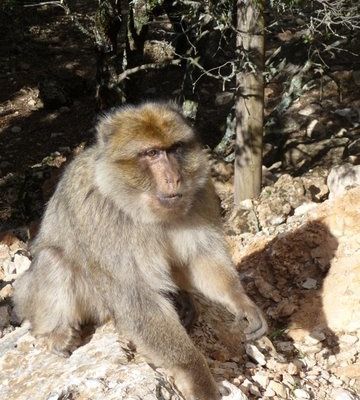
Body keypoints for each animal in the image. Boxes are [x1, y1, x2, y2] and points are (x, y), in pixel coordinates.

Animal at [13, 102, 268, 400]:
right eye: (151, 153)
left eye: (174, 149)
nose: (174, 178)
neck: (136, 202)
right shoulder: (104, 214)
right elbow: (137, 299)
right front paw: (196, 375)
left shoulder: (202, 193)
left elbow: (201, 257)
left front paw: (241, 301)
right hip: (53, 299)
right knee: (53, 260)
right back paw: (55, 333)